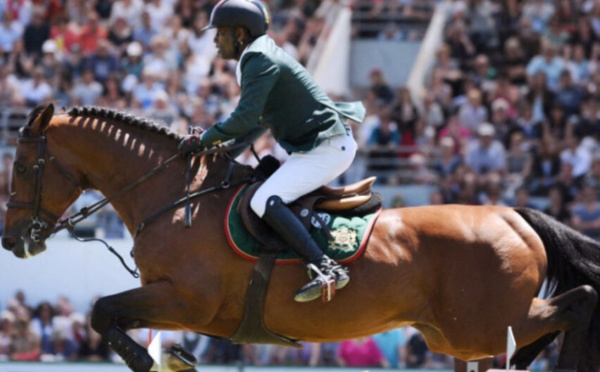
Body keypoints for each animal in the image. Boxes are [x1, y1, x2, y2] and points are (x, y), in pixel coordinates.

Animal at [1, 102, 600, 372]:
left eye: (24, 165)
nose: (14, 241)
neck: (172, 195)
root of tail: (513, 216)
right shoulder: (175, 303)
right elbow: (111, 317)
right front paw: (173, 356)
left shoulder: (186, 300)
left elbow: (101, 312)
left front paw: (166, 360)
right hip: (456, 336)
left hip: (482, 323)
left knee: (578, 304)